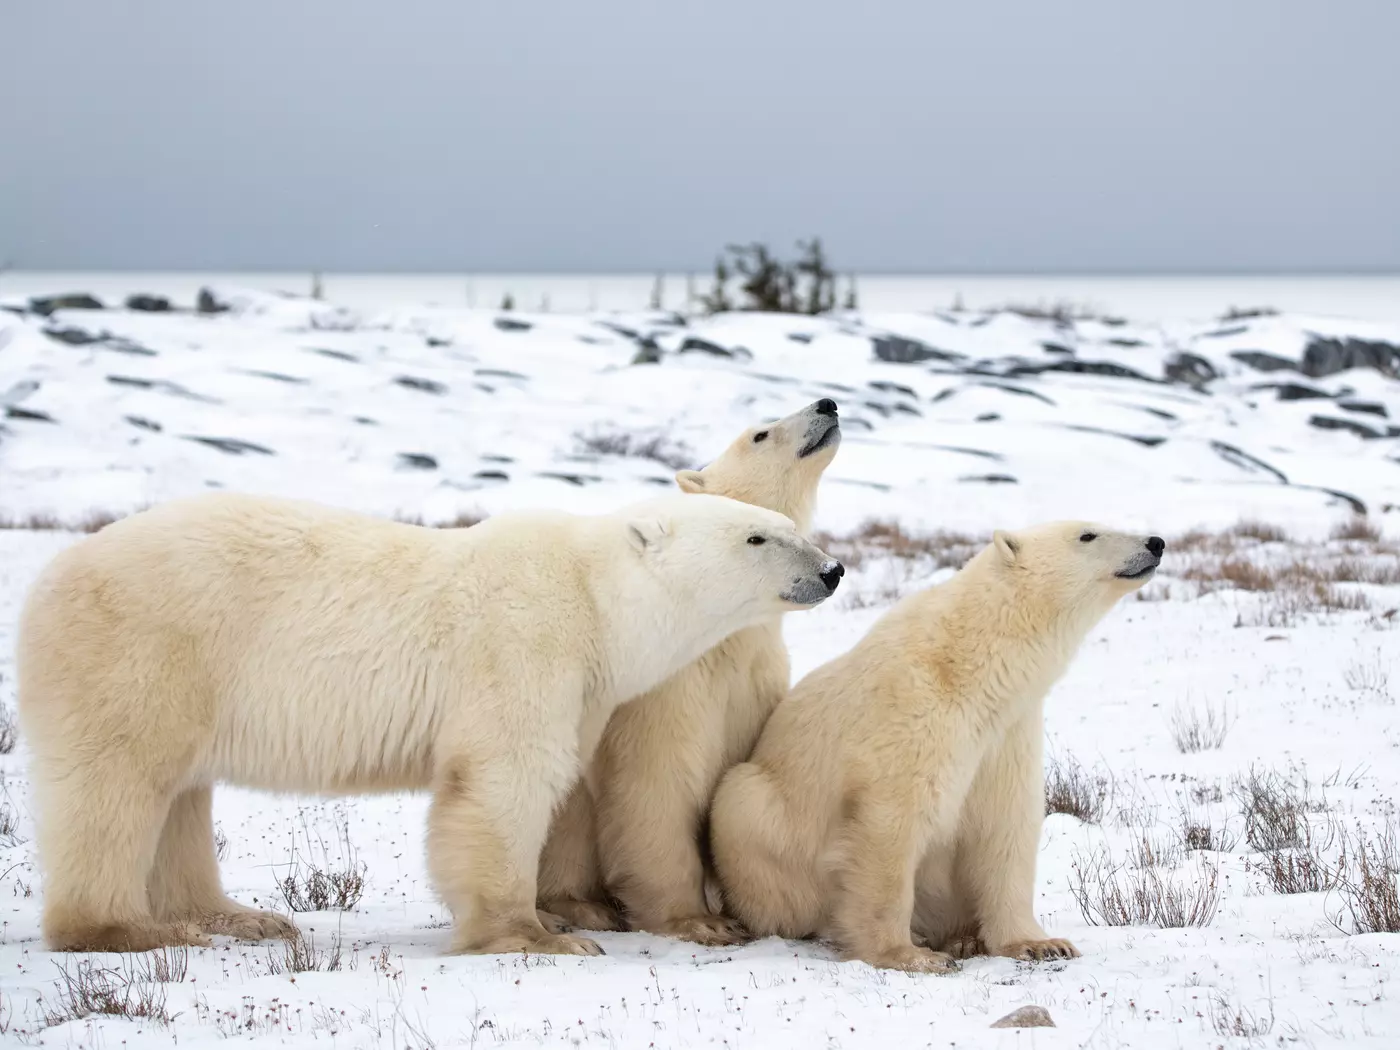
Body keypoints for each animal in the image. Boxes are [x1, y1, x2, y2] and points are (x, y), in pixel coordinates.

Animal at [16, 489, 844, 956]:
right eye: (757, 537)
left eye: (785, 523)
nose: (832, 569)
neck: (595, 597)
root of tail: (49, 578)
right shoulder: (525, 644)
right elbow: (505, 781)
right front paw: (538, 936)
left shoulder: (586, 687)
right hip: (143, 651)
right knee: (116, 786)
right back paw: (126, 930)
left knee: (181, 797)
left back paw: (238, 918)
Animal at [536, 398, 842, 945]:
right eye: (760, 434)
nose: (827, 404)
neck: (724, 635)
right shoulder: (670, 688)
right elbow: (658, 780)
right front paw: (700, 920)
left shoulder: (754, 685)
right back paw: (581, 907)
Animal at [709, 522, 1164, 972]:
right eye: (1088, 535)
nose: (1156, 542)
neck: (971, 666)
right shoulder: (913, 718)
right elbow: (892, 827)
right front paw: (910, 955)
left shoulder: (1006, 735)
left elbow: (1006, 827)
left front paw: (1041, 943)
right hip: (761, 814)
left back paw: (963, 937)